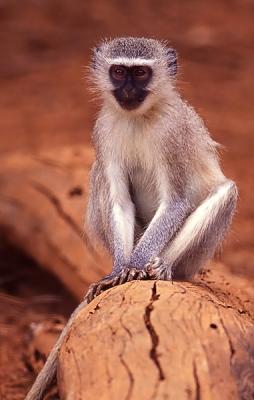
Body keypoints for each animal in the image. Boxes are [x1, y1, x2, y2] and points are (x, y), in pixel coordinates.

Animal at [24, 36, 237, 398]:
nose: (126, 90)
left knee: (227, 192)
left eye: (140, 73)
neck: (140, 117)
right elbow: (120, 201)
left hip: (193, 259)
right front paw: (118, 270)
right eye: (119, 72)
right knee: (99, 175)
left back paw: (160, 267)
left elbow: (176, 201)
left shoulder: (173, 133)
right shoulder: (103, 129)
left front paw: (136, 266)